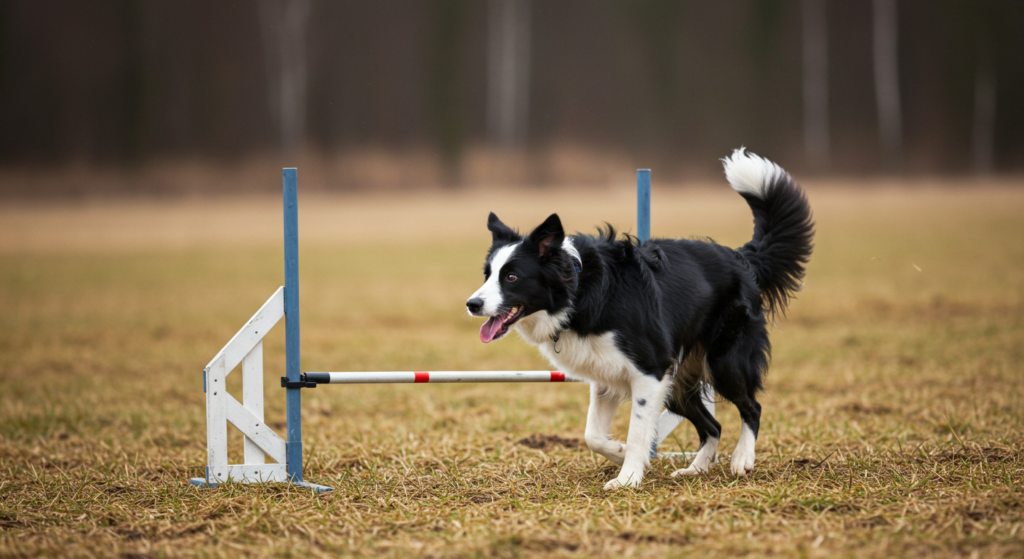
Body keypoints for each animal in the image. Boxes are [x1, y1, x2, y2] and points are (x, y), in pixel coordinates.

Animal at [468, 147, 811, 487]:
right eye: (487, 274)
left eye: (511, 277)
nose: (472, 304)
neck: (579, 292)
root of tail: (741, 257)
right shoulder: (607, 374)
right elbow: (593, 435)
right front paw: (619, 453)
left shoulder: (649, 371)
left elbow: (637, 430)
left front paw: (628, 478)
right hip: (679, 381)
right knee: (713, 426)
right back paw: (696, 468)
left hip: (723, 362)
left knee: (752, 407)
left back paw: (742, 458)